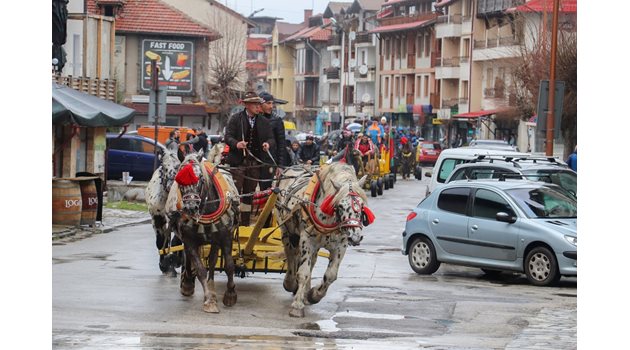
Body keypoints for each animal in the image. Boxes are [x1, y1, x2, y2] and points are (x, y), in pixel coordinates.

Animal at [278, 162, 372, 318]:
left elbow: (330, 275)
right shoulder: (306, 240)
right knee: (291, 256)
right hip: (287, 231)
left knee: (311, 262)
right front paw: (297, 306)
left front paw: (313, 295)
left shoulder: (340, 245)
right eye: (340, 206)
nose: (356, 237)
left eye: (362, 205)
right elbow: (303, 272)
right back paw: (290, 283)